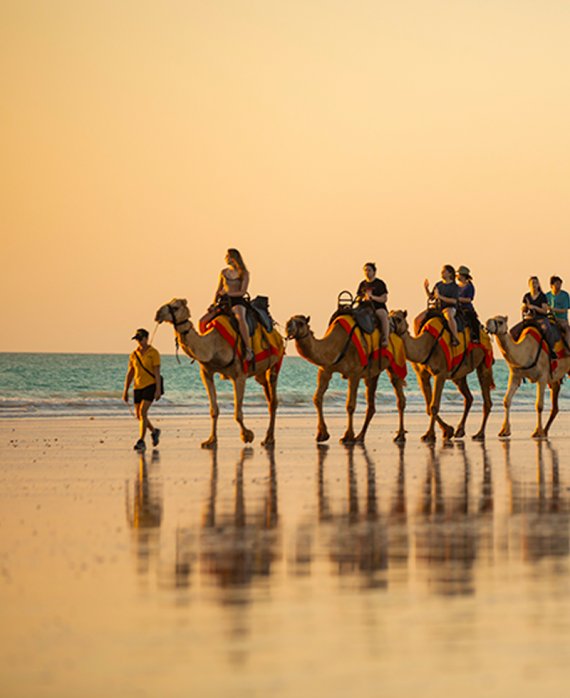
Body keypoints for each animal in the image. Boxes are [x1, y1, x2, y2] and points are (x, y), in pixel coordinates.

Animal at [154, 296, 282, 444]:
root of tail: (278, 334)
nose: (158, 314)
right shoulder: (206, 372)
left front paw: (247, 435)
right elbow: (214, 410)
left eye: (175, 307)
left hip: (275, 362)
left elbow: (237, 413)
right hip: (260, 373)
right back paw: (267, 437)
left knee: (273, 400)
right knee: (268, 397)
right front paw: (211, 440)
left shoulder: (239, 375)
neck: (213, 346)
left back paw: (269, 439)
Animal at [388, 310, 490, 440]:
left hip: (484, 362)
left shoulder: (440, 374)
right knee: (468, 398)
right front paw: (448, 430)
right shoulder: (422, 375)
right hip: (459, 376)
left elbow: (434, 406)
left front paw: (430, 434)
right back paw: (460, 431)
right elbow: (428, 407)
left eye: (399, 319)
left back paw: (480, 433)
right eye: (389, 316)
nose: (388, 327)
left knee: (486, 399)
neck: (426, 346)